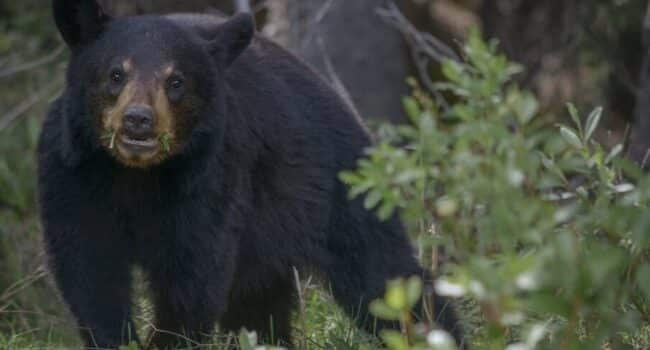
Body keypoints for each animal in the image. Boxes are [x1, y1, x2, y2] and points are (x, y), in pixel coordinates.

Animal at [38, 1, 458, 348]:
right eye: (115, 74)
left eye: (176, 81)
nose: (138, 120)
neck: (136, 175)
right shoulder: (71, 177)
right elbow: (90, 270)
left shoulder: (210, 183)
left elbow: (192, 277)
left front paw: (169, 340)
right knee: (259, 306)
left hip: (334, 187)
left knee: (383, 272)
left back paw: (436, 332)